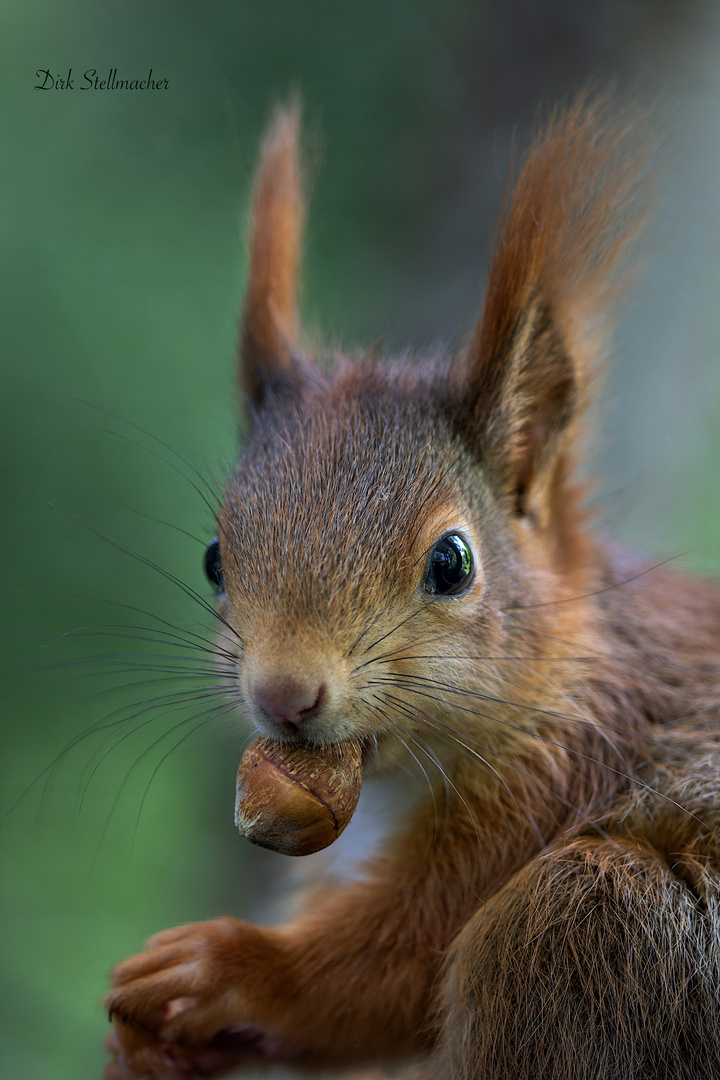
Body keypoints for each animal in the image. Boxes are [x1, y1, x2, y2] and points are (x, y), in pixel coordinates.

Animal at [101, 95, 720, 1080]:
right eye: (213, 558)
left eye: (453, 562)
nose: (283, 695)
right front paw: (150, 1049)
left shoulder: (563, 777)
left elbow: (398, 956)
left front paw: (233, 968)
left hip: (594, 927)